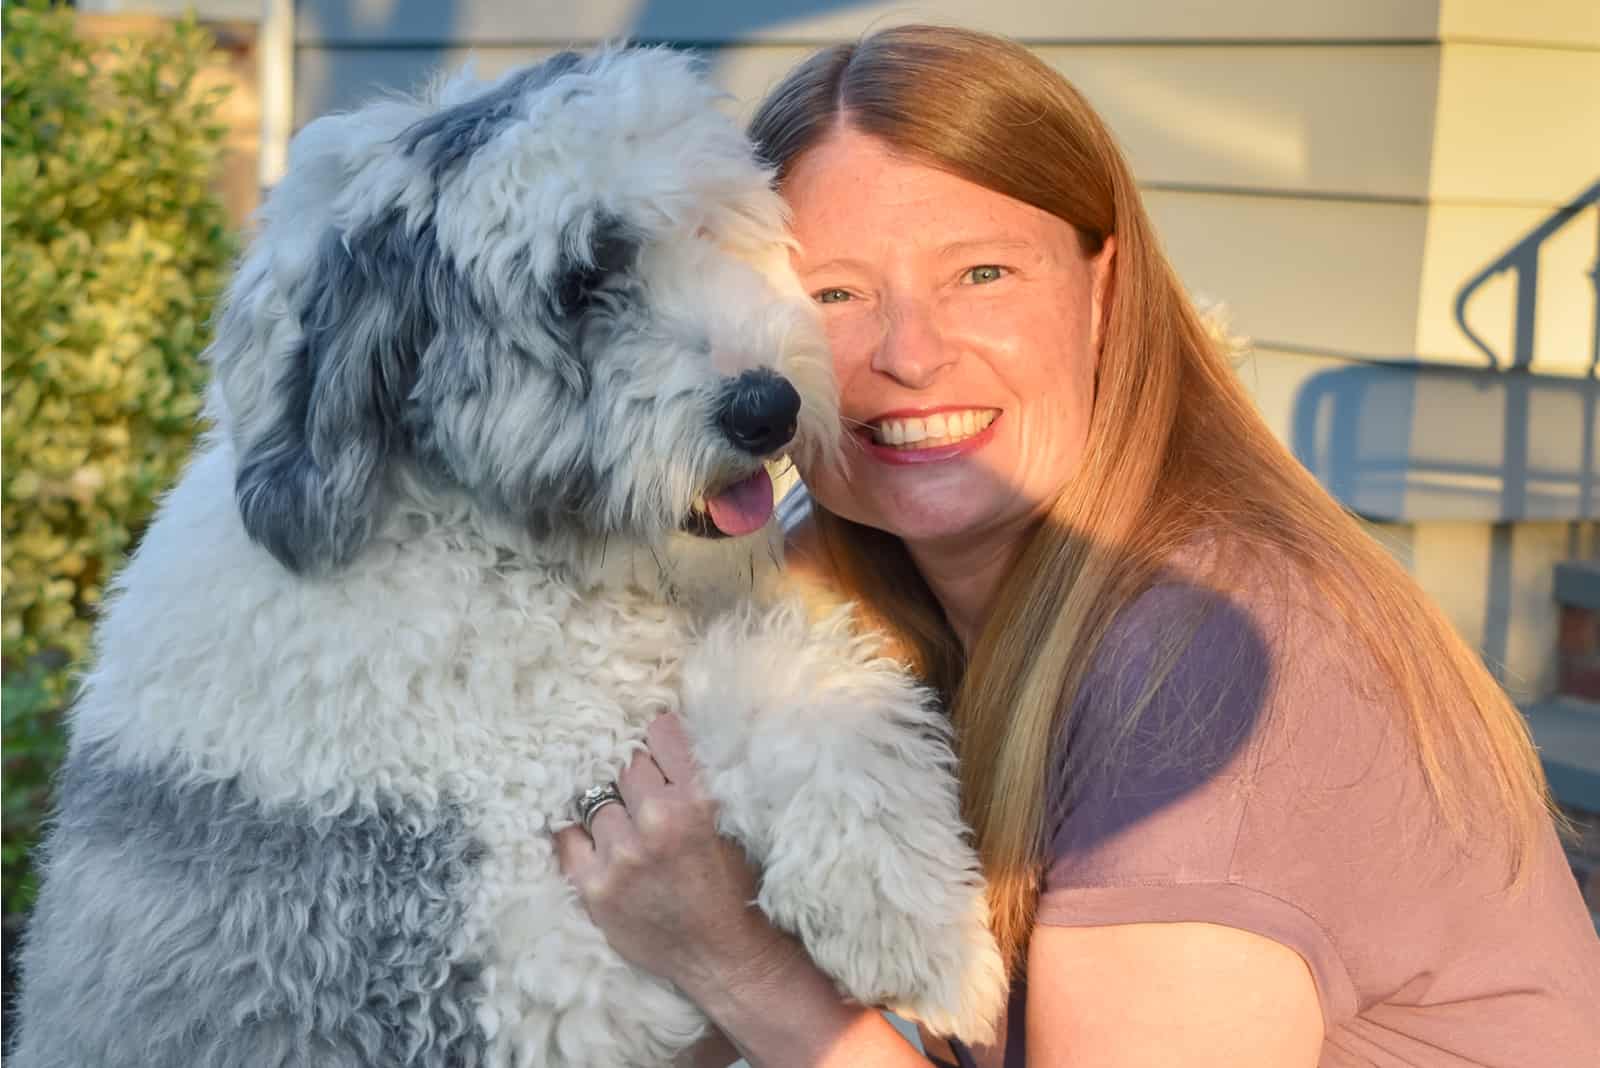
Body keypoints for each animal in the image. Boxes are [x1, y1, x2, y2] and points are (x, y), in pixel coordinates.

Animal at [12, 43, 1004, 1068]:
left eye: (708, 230)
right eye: (580, 280)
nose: (768, 406)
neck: (487, 555)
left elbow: (797, 684)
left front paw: (915, 924)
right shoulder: (474, 964)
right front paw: (925, 933)